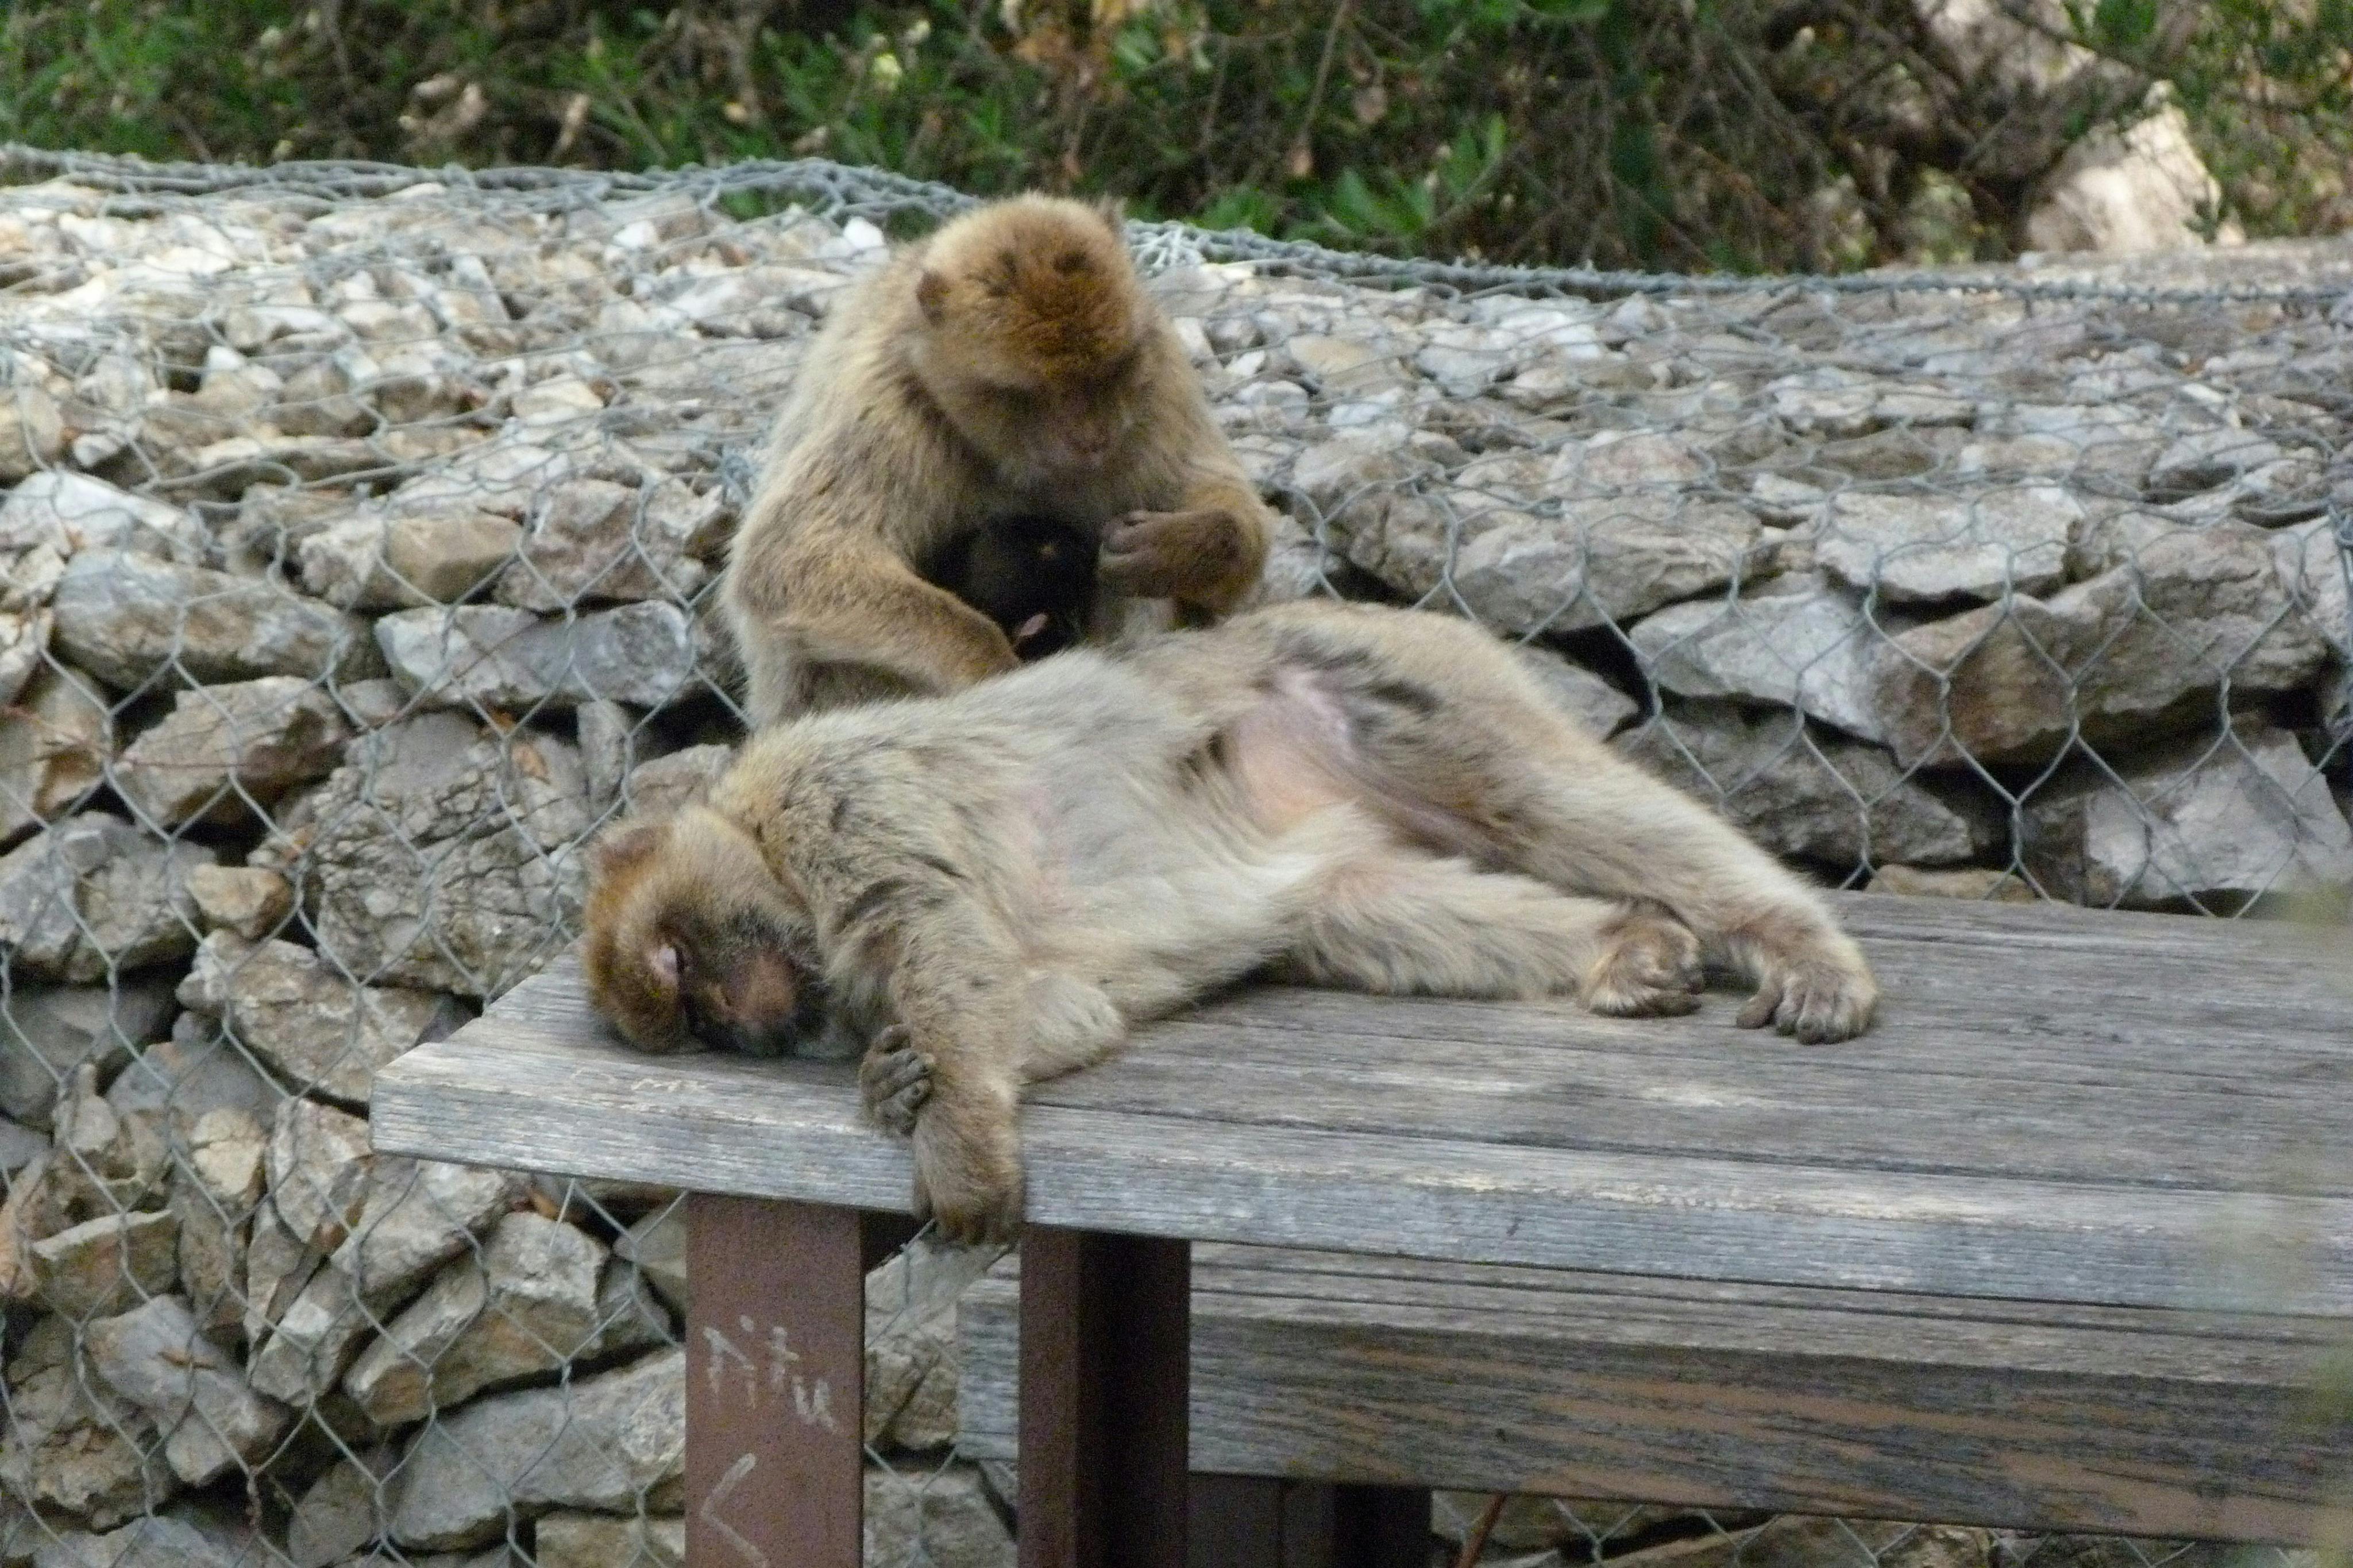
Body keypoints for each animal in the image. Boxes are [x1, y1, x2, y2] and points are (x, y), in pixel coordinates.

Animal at [583, 601, 1879, 1244]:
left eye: (679, 963)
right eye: (695, 1023)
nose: (746, 1022)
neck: (759, 836)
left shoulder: (839, 802)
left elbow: (939, 929)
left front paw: (954, 1142)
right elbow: (1057, 1002)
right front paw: (901, 1082)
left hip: (1381, 680)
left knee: (1539, 795)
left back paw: (1800, 942)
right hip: (1333, 832)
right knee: (1374, 915)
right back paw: (1624, 943)